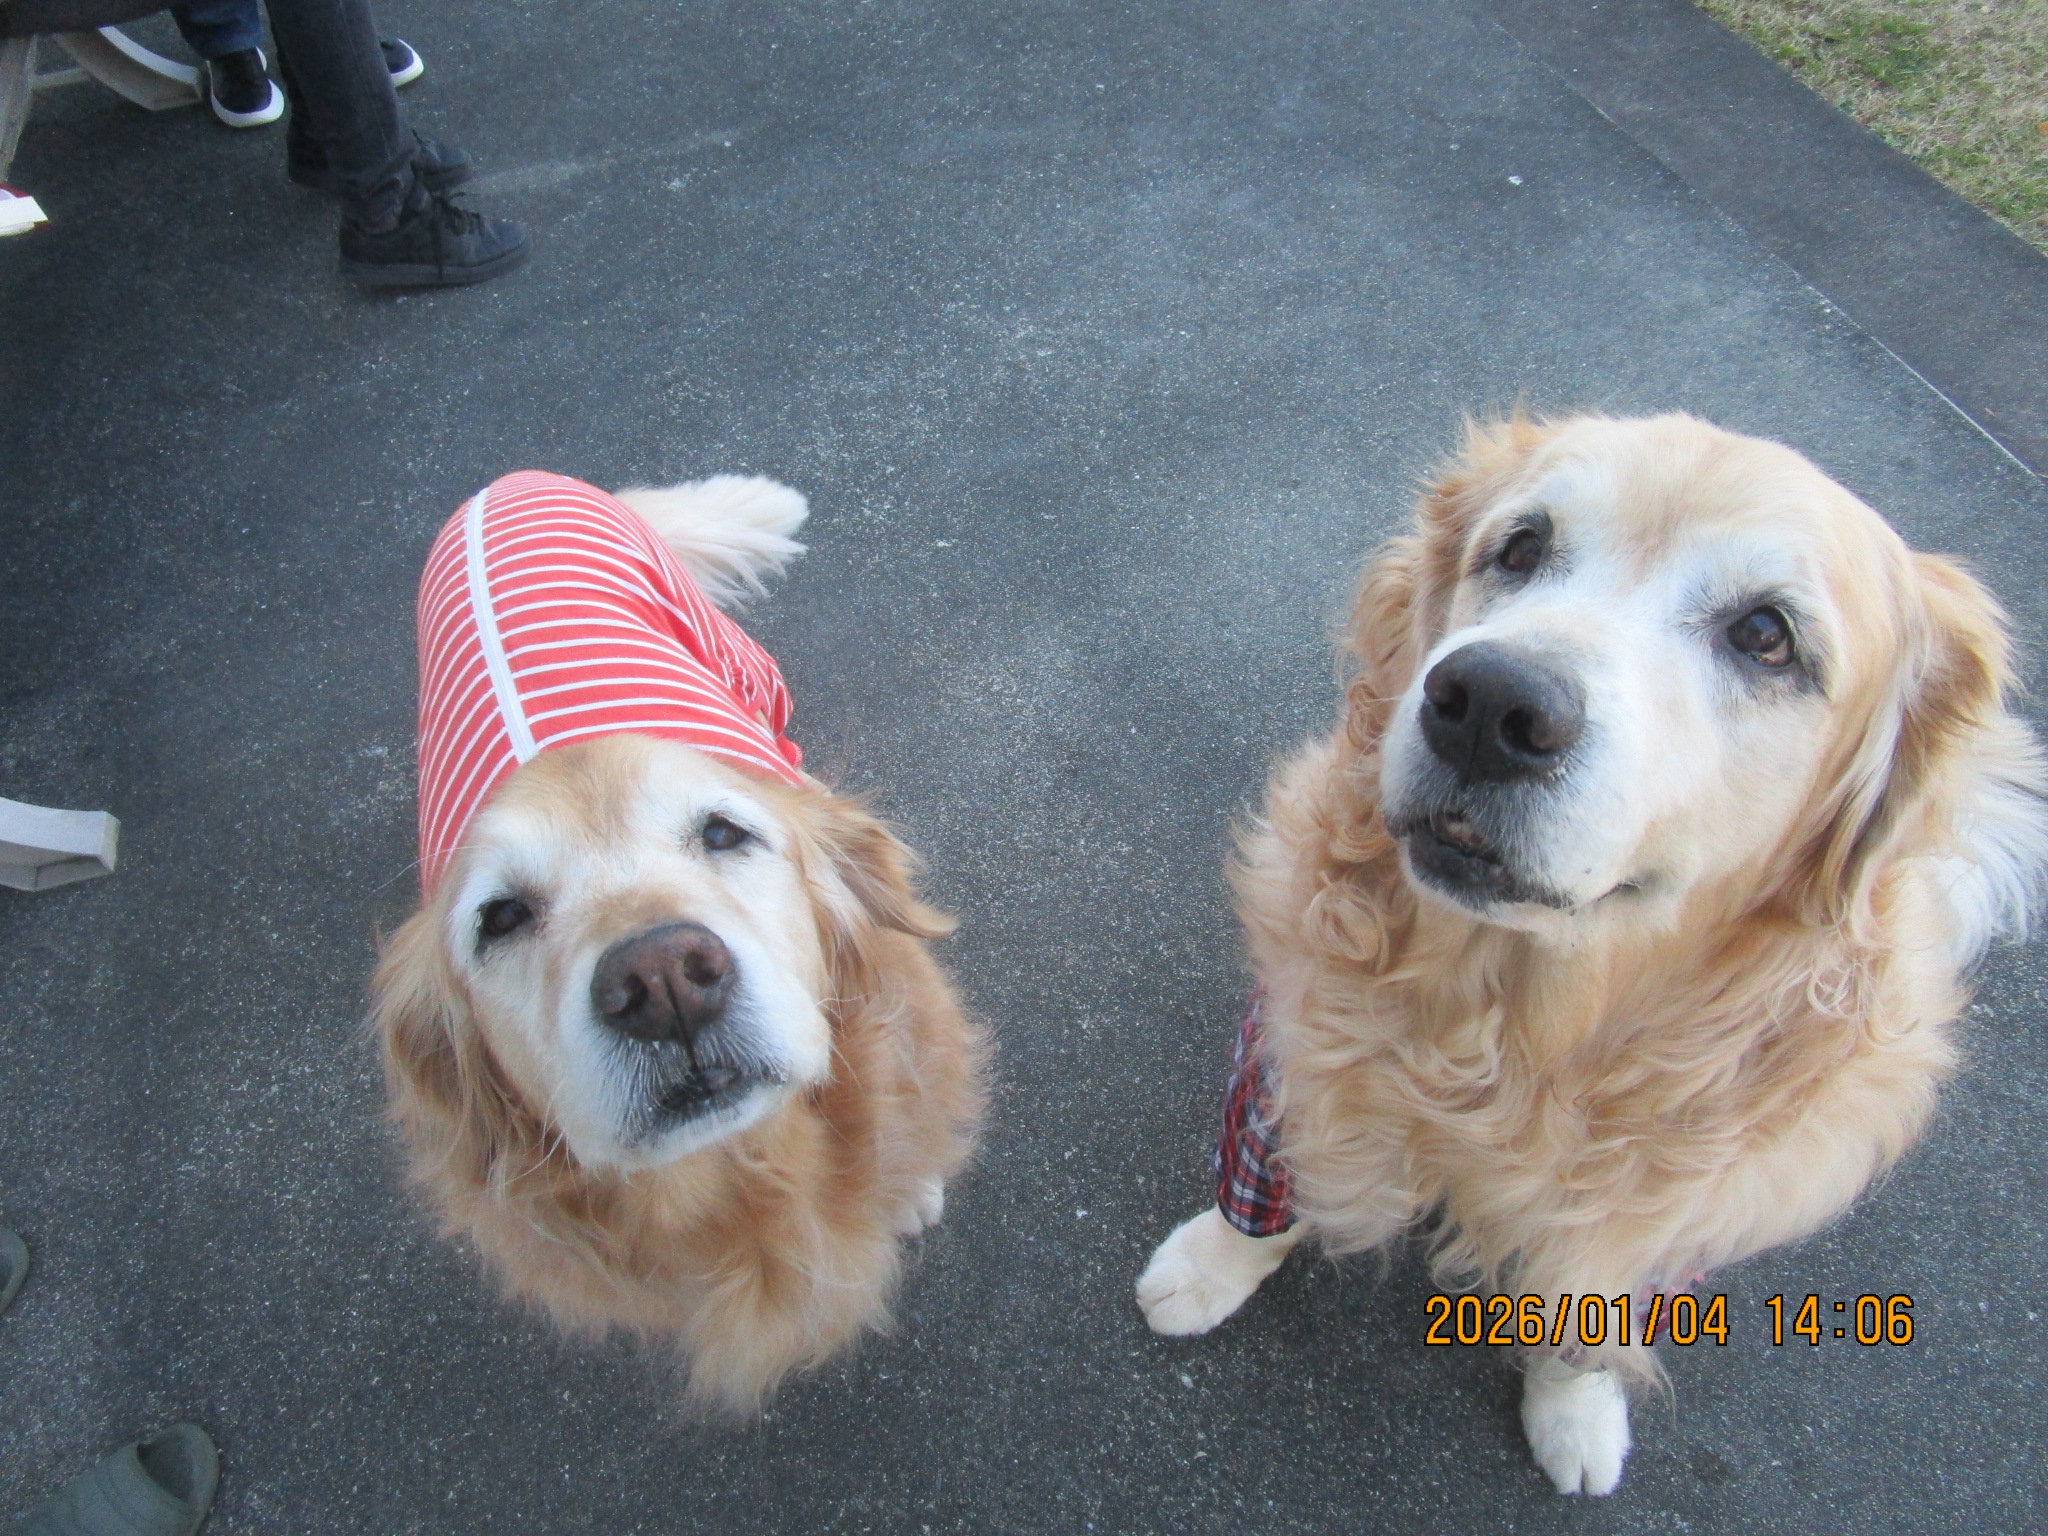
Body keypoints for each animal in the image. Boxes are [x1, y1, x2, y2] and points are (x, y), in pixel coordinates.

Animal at [372, 471, 985, 1412]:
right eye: (499, 918)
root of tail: (505, 482)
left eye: (726, 833)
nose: (663, 982)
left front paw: (910, 1186)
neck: (753, 1183)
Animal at [1136, 414, 2048, 1494]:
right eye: (1520, 548)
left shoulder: (1667, 1211)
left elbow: (1591, 1310)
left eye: (1766, 636)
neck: (1507, 1036)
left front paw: (1573, 1411)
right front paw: (1208, 1269)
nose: (1487, 705)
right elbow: (1264, 1187)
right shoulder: (1293, 1045)